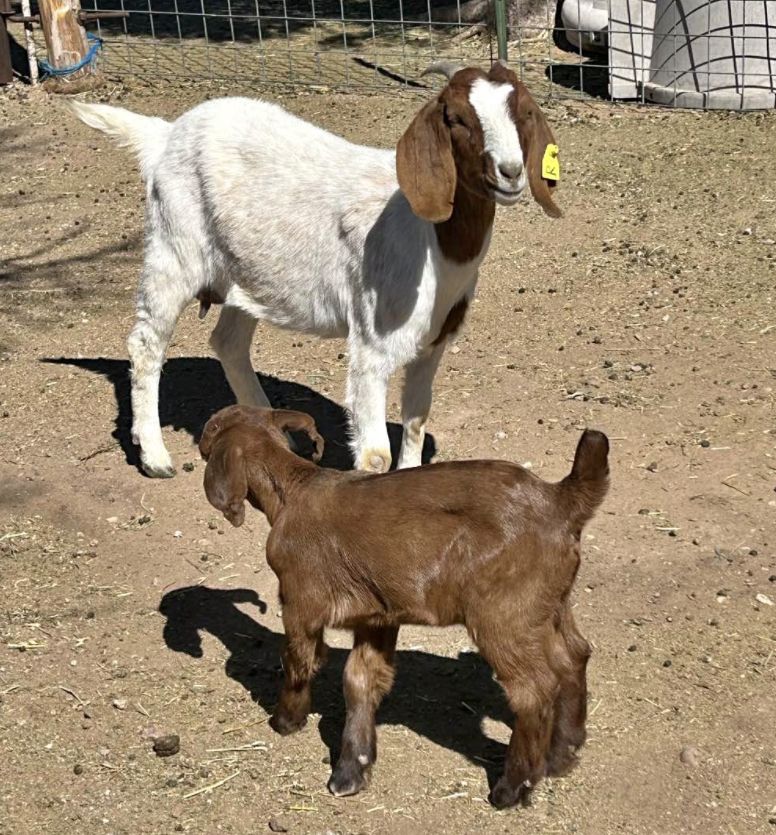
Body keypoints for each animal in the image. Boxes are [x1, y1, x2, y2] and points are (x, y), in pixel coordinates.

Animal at [71, 60, 561, 479]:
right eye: (457, 118)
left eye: (523, 111)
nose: (511, 172)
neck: (434, 243)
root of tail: (167, 133)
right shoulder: (372, 344)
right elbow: (376, 455)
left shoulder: (432, 344)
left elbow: (416, 425)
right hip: (174, 248)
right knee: (146, 343)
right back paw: (155, 456)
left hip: (247, 273)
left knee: (228, 342)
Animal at [198, 405, 608, 808]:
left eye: (212, 428)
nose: (201, 441)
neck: (293, 489)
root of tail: (560, 501)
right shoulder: (377, 614)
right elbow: (361, 679)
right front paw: (352, 769)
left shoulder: (300, 600)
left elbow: (300, 660)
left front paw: (287, 720)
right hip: (549, 605)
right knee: (574, 656)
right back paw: (562, 755)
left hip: (504, 614)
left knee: (533, 690)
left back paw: (513, 787)